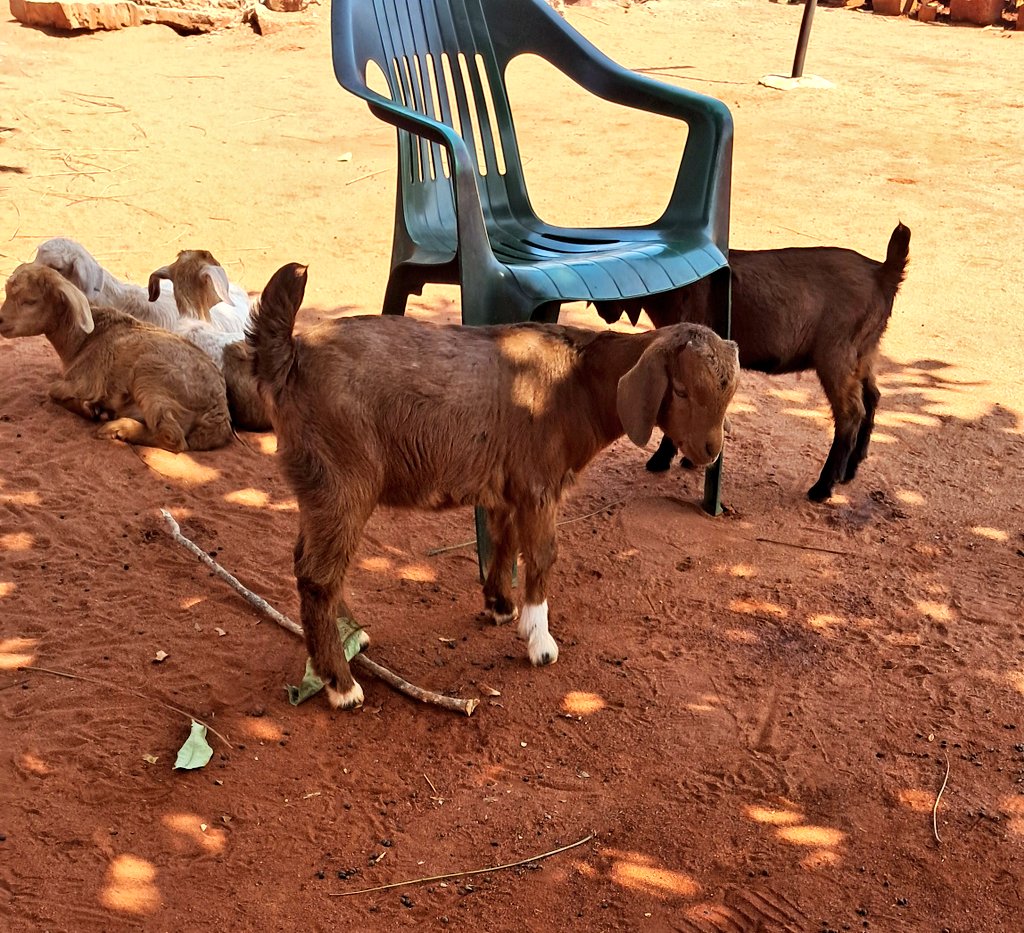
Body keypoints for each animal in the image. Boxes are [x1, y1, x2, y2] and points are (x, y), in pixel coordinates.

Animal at [0, 263, 232, 452]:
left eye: (31, 301)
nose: (0, 320)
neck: (83, 340)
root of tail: (218, 412)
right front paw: (94, 409)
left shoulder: (86, 381)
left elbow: (54, 390)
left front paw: (91, 409)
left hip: (150, 376)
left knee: (173, 437)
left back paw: (116, 428)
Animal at [247, 263, 740, 709]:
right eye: (680, 389)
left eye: (729, 392)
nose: (710, 451)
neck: (578, 382)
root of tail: (289, 355)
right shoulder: (540, 484)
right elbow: (541, 554)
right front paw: (540, 643)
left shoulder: (508, 484)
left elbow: (505, 540)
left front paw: (501, 606)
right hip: (343, 482)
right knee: (318, 577)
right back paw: (341, 685)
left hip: (317, 488)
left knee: (313, 565)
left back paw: (353, 638)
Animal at [596, 222, 911, 502]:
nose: (604, 311)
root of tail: (884, 272)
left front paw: (663, 460)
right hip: (865, 352)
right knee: (872, 397)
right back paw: (850, 470)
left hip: (837, 356)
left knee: (851, 413)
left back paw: (823, 486)